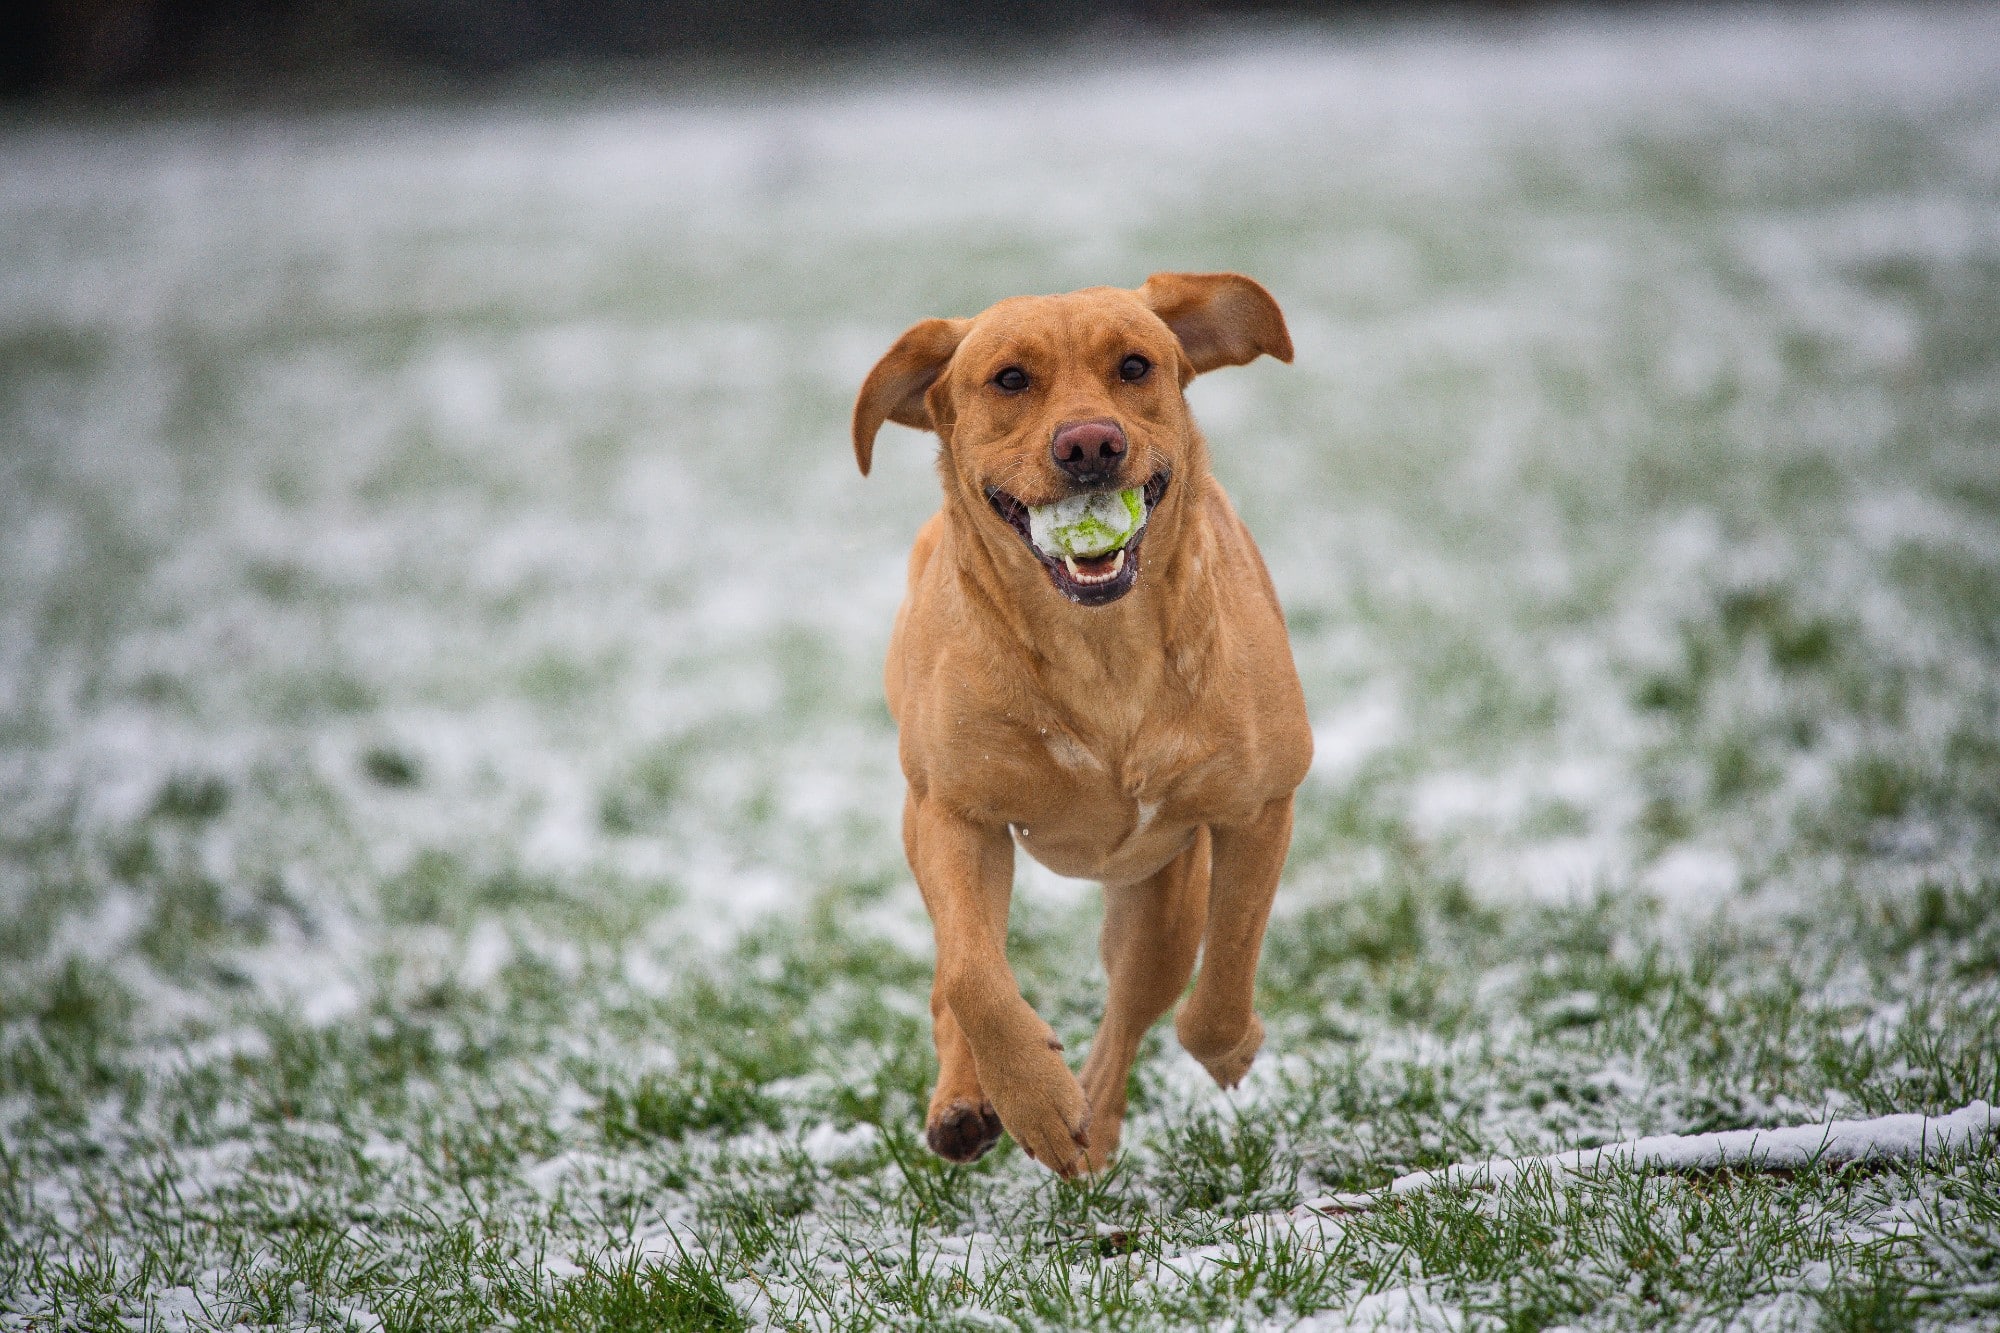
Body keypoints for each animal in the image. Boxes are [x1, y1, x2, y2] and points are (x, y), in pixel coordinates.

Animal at [856, 272, 1312, 1176]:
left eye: (1135, 365)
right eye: (1008, 379)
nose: (1091, 444)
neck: (1100, 653)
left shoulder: (1260, 806)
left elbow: (1224, 969)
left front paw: (1229, 1046)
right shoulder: (954, 813)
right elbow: (973, 976)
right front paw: (1032, 1098)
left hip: (1163, 891)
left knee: (1139, 996)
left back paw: (1093, 1117)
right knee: (953, 971)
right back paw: (969, 1104)